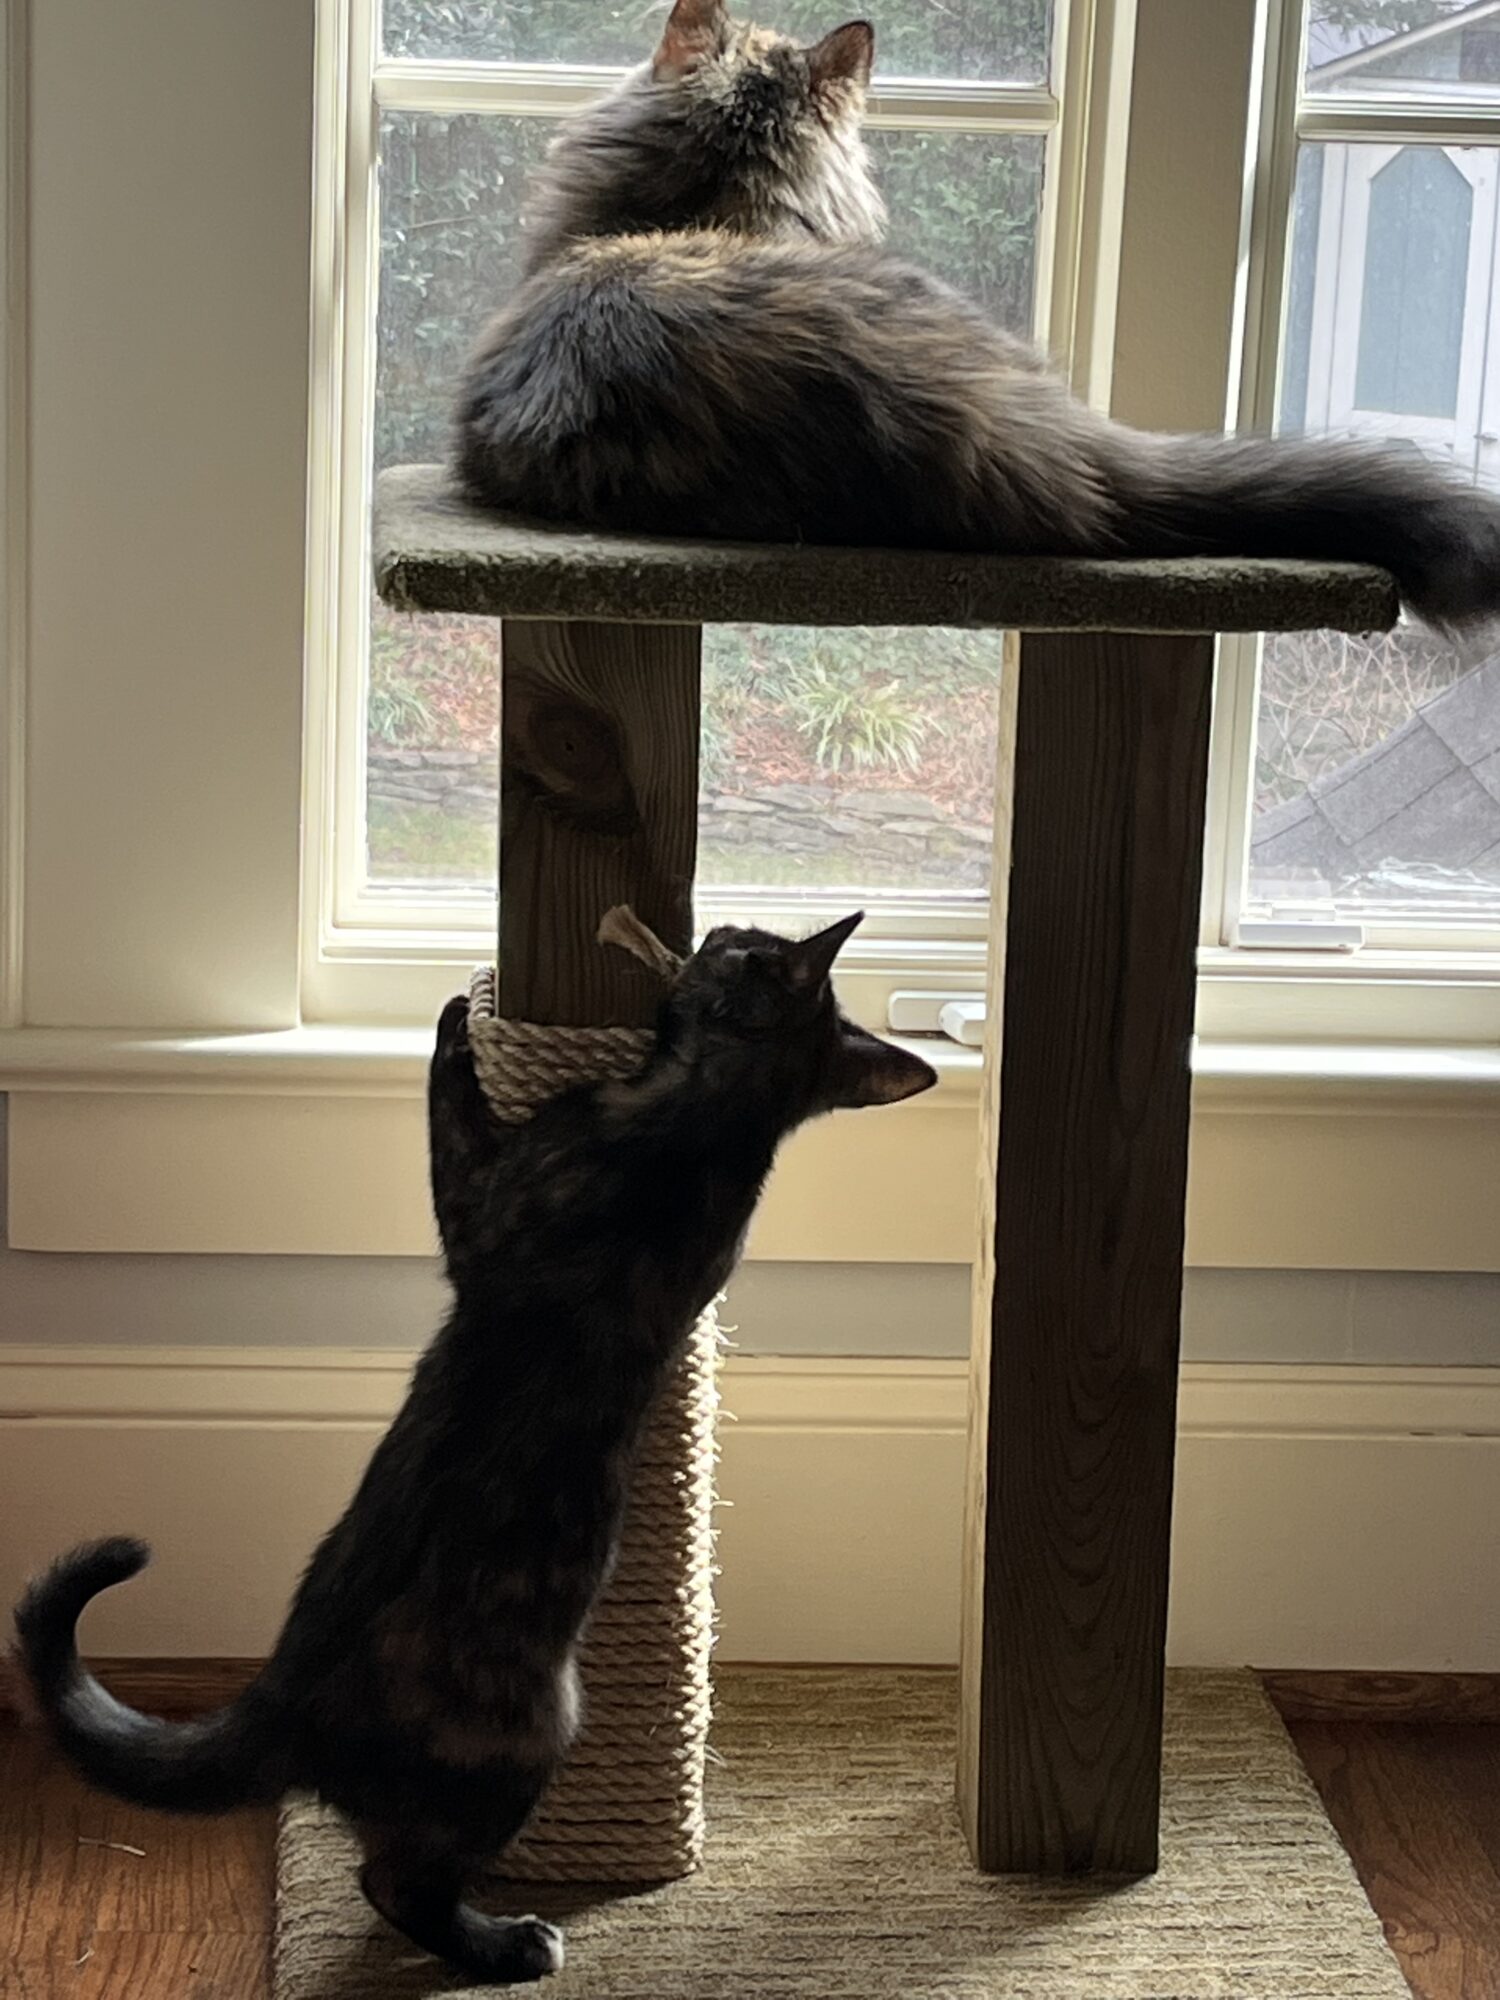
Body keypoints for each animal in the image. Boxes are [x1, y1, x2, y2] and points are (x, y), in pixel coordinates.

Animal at [11, 916, 936, 1976]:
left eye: (747, 943)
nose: (713, 925)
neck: (717, 1123)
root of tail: (282, 1702)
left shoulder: (480, 1213)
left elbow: (446, 1125)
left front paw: (457, 1021)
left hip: (528, 1733)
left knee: (395, 1881)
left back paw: (505, 1944)